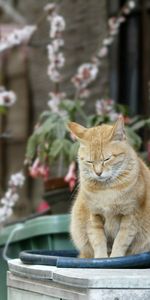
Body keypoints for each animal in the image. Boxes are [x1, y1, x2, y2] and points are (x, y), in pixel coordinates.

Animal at [68, 117, 150, 258]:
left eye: (107, 159)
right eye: (89, 162)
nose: (98, 173)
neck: (106, 190)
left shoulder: (130, 216)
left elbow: (121, 240)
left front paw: (115, 257)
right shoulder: (95, 216)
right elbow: (98, 240)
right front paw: (101, 258)